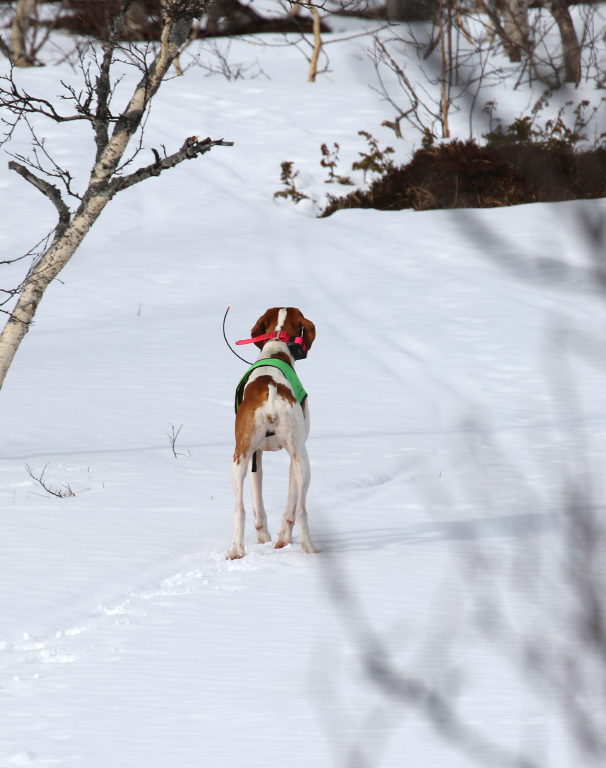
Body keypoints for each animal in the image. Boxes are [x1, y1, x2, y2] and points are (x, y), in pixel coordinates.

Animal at [230, 306, 320, 560]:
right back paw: (308, 548)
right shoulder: (281, 457)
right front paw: (279, 539)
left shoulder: (255, 457)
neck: (277, 347)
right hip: (300, 457)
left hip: (239, 459)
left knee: (240, 509)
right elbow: (290, 506)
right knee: (300, 510)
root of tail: (270, 388)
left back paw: (236, 551)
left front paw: (266, 539)